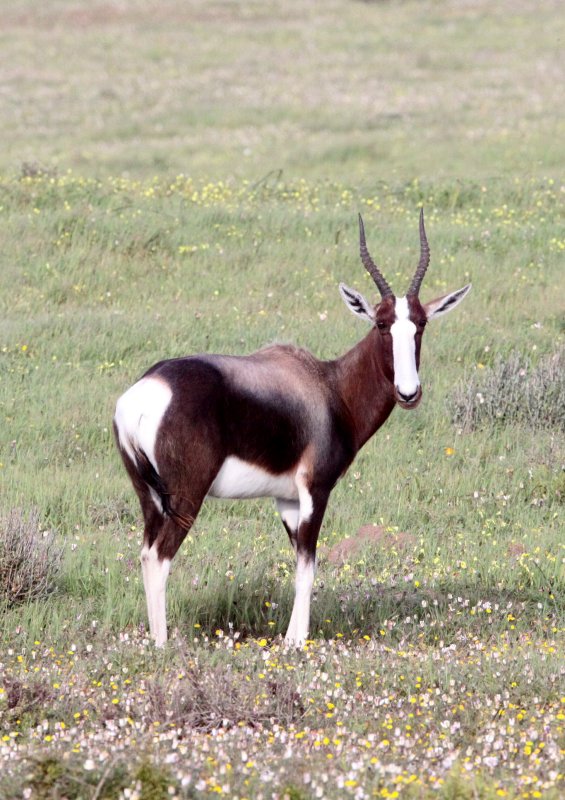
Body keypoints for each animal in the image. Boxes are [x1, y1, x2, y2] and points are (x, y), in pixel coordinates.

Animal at [112, 211, 470, 644]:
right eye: (382, 324)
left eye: (420, 323)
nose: (408, 392)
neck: (327, 384)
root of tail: (145, 393)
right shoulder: (315, 490)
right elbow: (310, 564)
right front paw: (298, 642)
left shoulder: (286, 500)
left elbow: (300, 561)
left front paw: (290, 638)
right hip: (186, 497)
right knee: (158, 557)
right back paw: (163, 644)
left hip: (149, 497)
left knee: (145, 551)